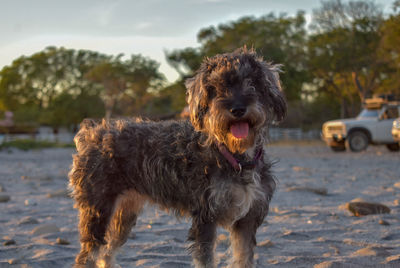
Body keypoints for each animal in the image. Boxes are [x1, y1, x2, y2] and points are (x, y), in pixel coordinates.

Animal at [69, 48, 288, 268]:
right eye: (216, 88)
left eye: (252, 82)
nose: (237, 109)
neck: (235, 157)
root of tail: (91, 133)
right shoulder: (205, 218)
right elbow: (206, 259)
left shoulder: (247, 220)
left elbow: (243, 258)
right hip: (98, 211)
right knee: (88, 256)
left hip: (124, 214)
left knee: (106, 252)